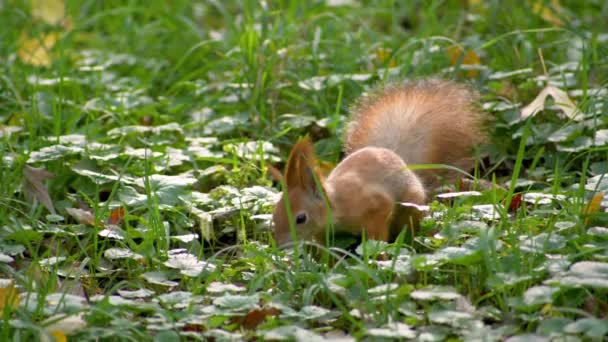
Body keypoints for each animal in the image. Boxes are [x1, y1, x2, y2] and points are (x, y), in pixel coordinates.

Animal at [274, 78, 486, 246]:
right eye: (275, 212)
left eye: (301, 218)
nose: (279, 244)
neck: (336, 205)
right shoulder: (323, 233)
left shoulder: (376, 207)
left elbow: (378, 237)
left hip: (411, 207)